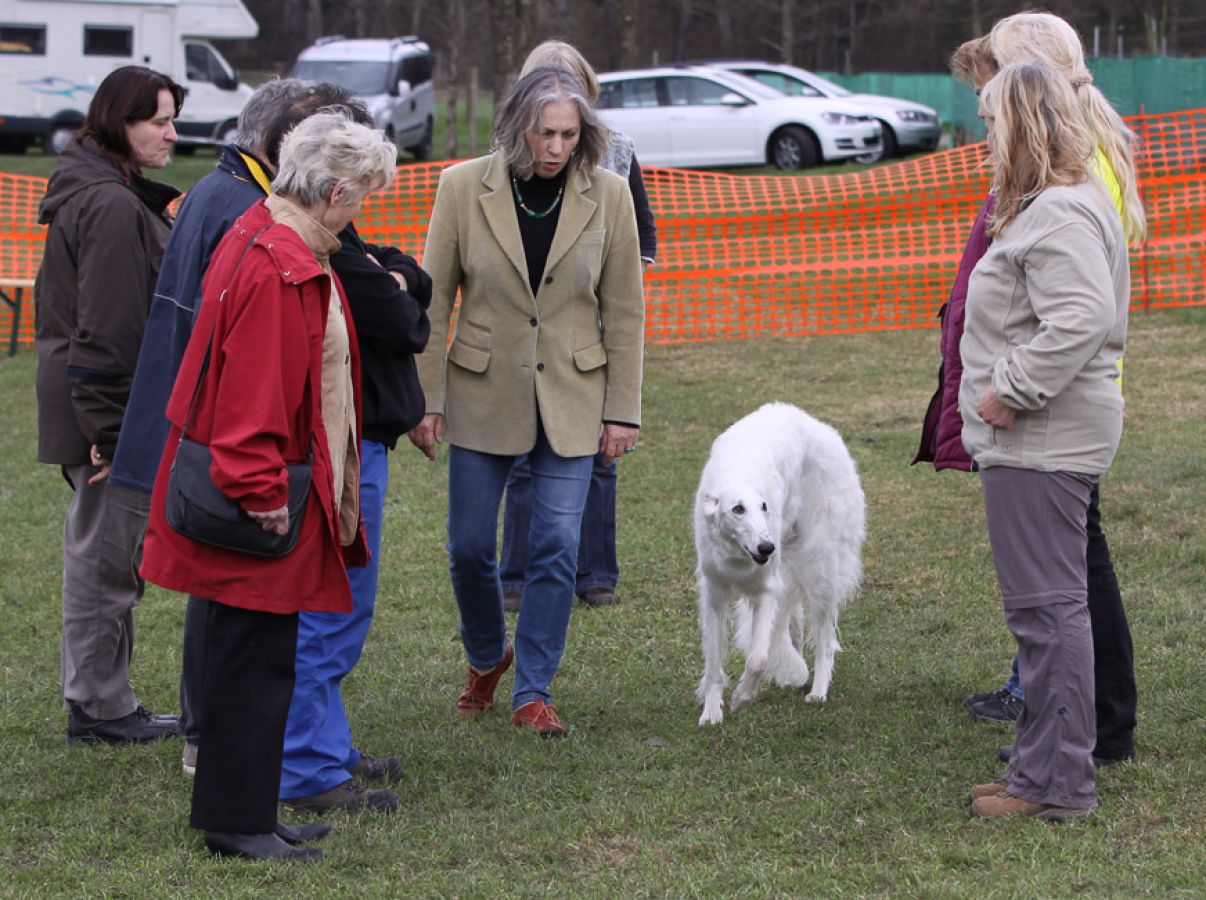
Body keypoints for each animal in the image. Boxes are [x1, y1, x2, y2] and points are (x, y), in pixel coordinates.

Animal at [693, 402, 865, 725]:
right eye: (737, 509)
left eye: (764, 507)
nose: (767, 547)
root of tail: (822, 428)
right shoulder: (714, 596)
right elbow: (713, 668)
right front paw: (711, 713)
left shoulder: (766, 591)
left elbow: (757, 659)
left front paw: (742, 697)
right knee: (796, 626)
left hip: (819, 567)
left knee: (826, 641)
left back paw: (818, 690)